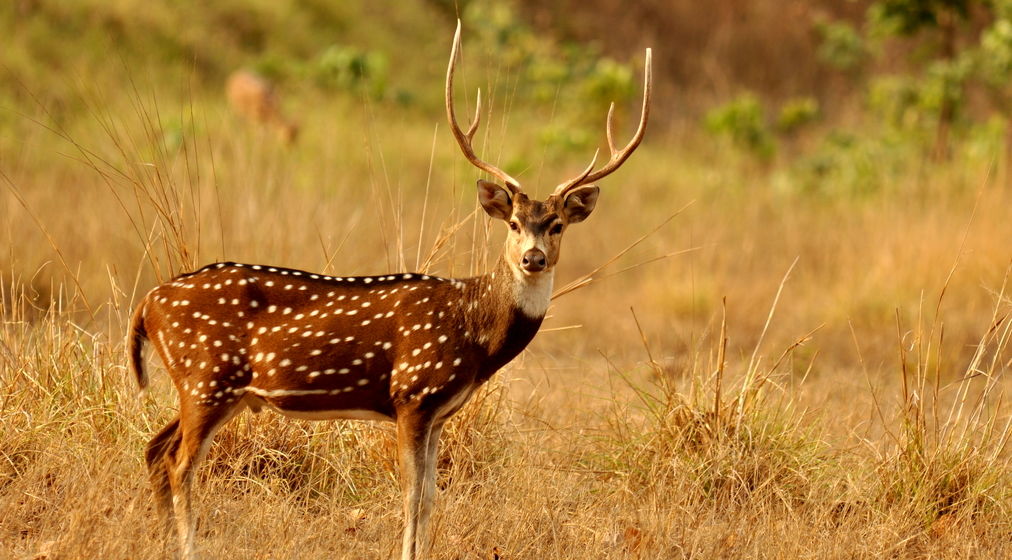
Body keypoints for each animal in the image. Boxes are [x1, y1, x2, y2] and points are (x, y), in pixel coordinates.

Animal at [130, 22, 651, 558]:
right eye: (512, 223)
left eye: (557, 225)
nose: (533, 258)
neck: (473, 331)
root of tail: (148, 303)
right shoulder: (412, 393)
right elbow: (411, 495)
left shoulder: (440, 412)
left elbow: (431, 497)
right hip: (207, 377)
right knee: (179, 463)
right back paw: (188, 547)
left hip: (209, 387)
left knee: (155, 448)